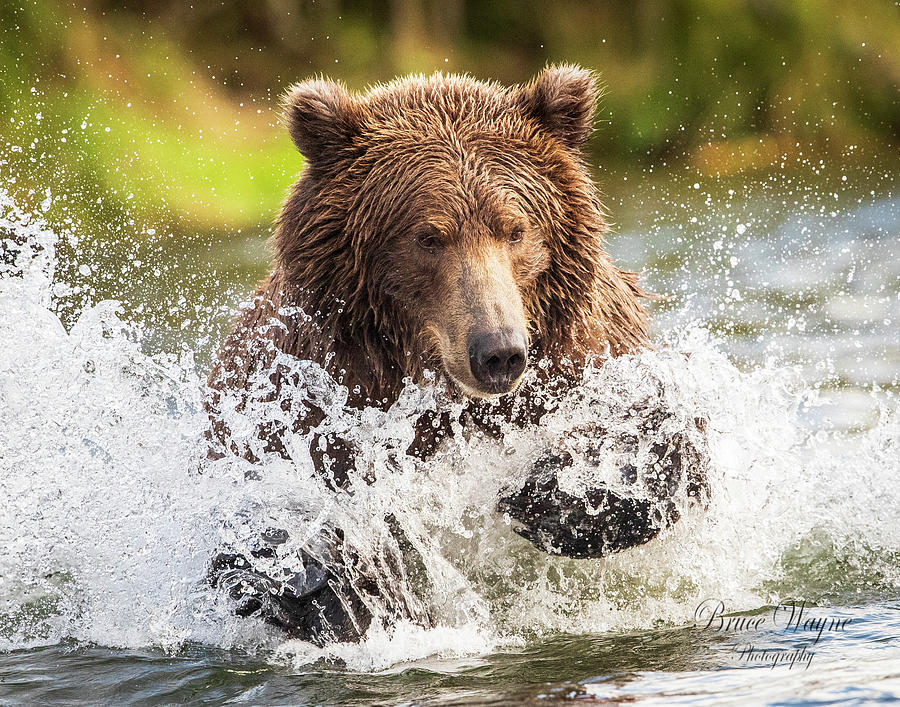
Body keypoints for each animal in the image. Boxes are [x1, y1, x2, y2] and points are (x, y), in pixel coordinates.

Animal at [207, 66, 708, 648]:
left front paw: (555, 496)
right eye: (428, 237)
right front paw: (339, 588)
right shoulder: (296, 390)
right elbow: (257, 508)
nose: (499, 352)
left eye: (515, 228)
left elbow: (660, 431)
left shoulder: (587, 350)